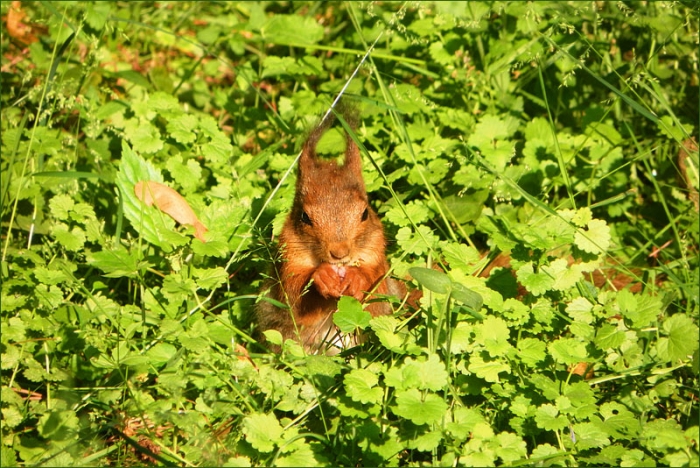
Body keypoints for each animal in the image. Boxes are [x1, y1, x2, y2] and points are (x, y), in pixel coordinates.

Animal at [257, 107, 405, 352]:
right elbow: (295, 299)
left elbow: (376, 298)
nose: (339, 253)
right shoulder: (287, 265)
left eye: (365, 213)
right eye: (304, 217)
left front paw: (356, 278)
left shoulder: (377, 259)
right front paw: (322, 276)